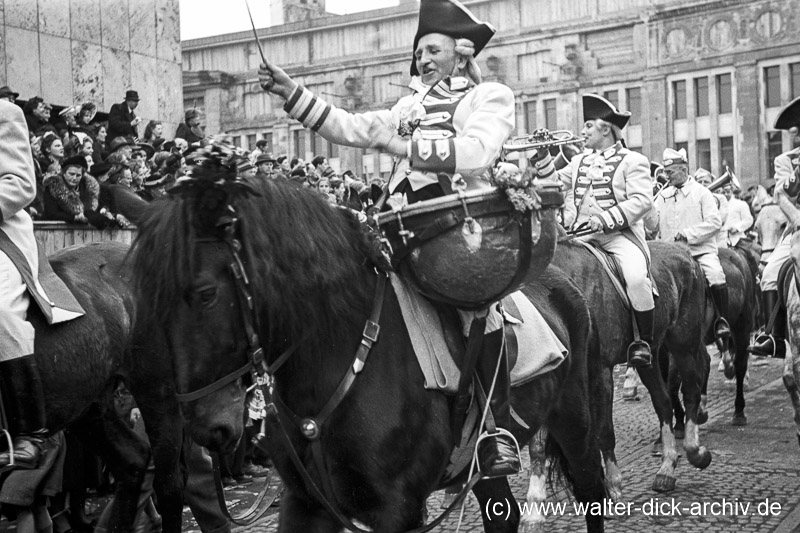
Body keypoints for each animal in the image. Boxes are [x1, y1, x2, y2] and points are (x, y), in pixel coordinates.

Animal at [128, 170, 608, 532]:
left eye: (206, 294)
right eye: (144, 296)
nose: (206, 427)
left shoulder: (396, 510)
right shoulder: (306, 503)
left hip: (577, 422)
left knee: (592, 492)